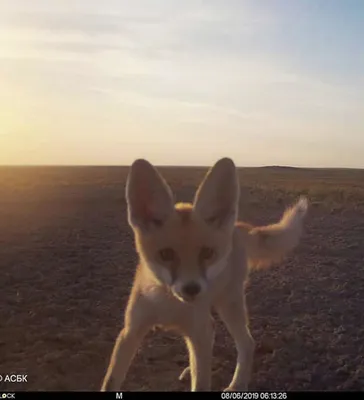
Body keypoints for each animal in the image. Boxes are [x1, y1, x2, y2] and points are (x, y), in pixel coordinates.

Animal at [101, 156, 308, 390]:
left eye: (207, 253)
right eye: (166, 254)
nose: (192, 289)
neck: (169, 306)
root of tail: (236, 227)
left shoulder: (197, 331)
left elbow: (200, 382)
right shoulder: (131, 331)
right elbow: (110, 382)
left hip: (228, 305)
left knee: (247, 343)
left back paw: (237, 384)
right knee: (213, 333)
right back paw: (191, 369)